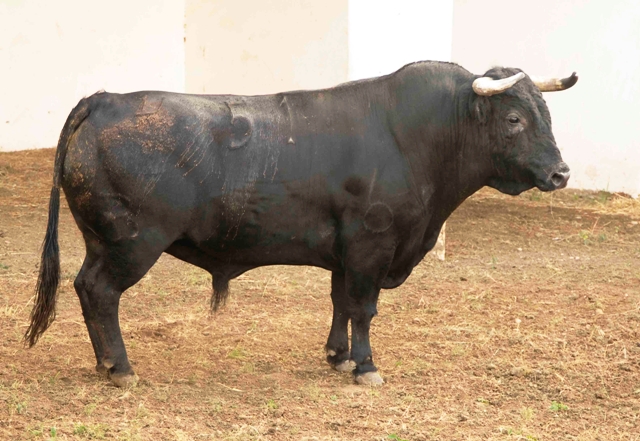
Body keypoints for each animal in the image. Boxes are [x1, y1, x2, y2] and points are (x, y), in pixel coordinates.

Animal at [25, 61, 576, 384]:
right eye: (514, 119)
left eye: (547, 113)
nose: (561, 172)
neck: (416, 135)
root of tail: (106, 98)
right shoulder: (373, 245)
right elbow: (364, 308)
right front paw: (366, 367)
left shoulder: (347, 251)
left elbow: (340, 302)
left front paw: (338, 355)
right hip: (130, 243)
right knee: (99, 291)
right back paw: (120, 368)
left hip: (106, 241)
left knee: (88, 289)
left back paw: (106, 363)